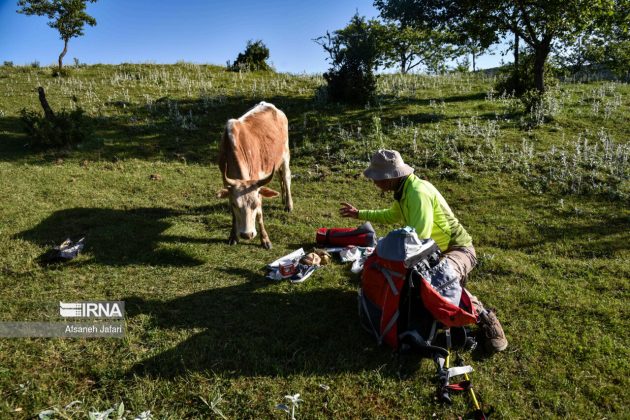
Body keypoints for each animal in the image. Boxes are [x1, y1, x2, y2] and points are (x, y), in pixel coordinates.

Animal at [217, 101, 294, 249]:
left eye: (256, 204)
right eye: (235, 205)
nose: (247, 235)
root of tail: (271, 106)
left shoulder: (257, 185)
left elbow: (259, 215)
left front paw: (265, 239)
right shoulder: (227, 184)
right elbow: (233, 214)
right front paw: (233, 236)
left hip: (285, 155)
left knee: (286, 177)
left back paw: (288, 204)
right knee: (280, 176)